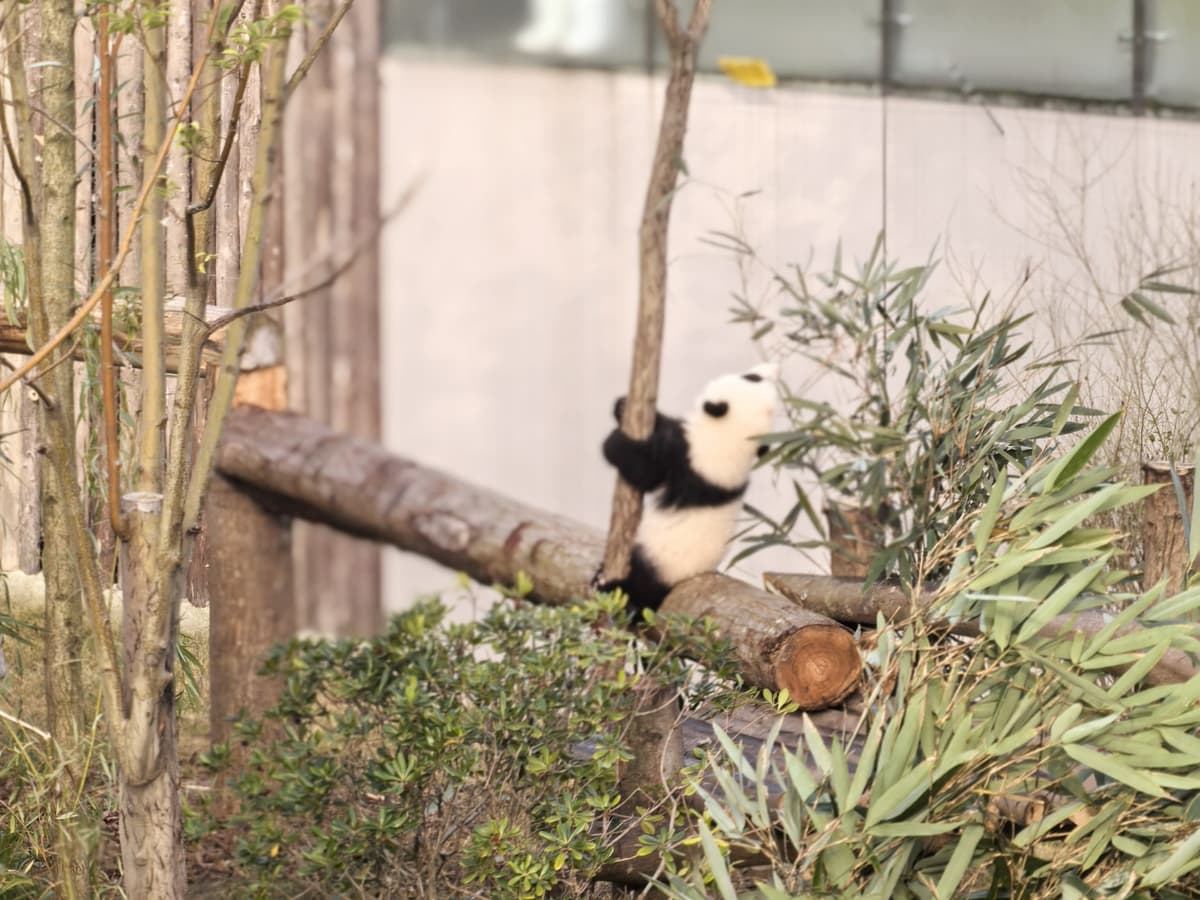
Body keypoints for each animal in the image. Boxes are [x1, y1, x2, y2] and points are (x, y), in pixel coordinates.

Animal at [599, 362, 779, 615]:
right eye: (753, 377)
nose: (773, 367)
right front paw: (622, 406)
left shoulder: (688, 457)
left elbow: (645, 472)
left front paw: (614, 443)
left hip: (659, 561)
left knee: (641, 583)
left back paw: (611, 588)